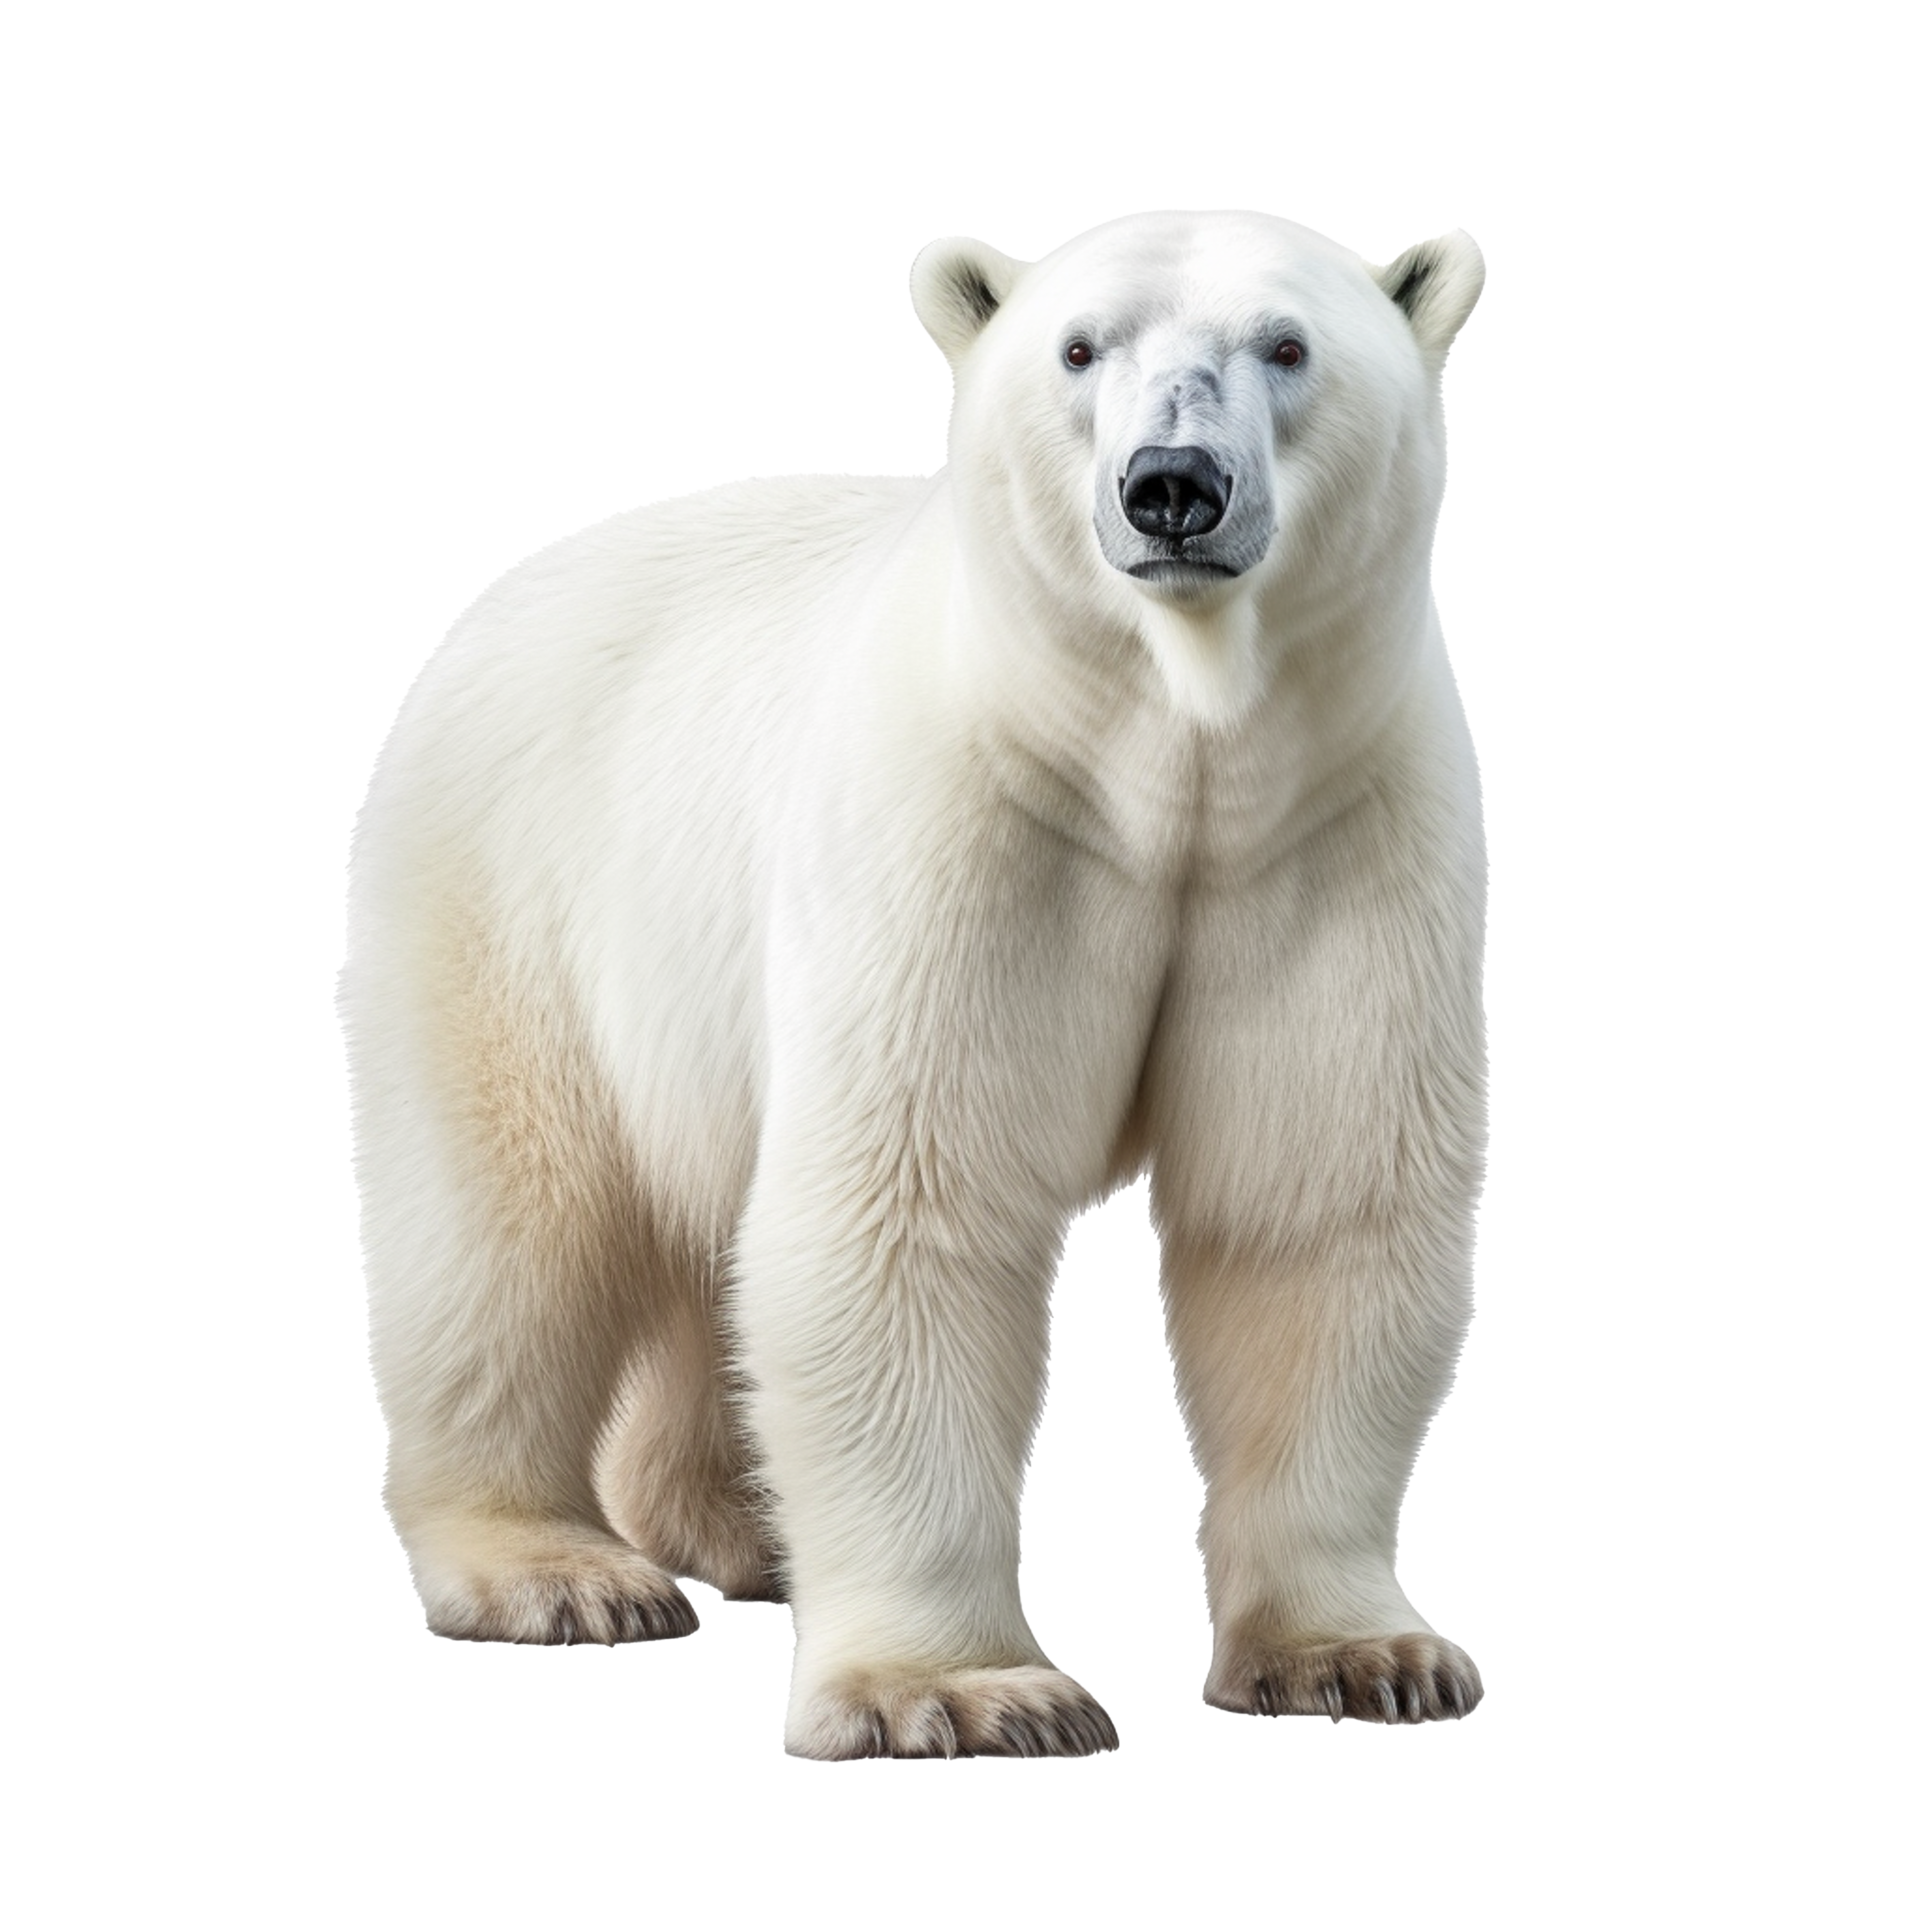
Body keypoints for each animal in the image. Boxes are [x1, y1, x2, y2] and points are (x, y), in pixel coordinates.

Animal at [337, 206, 1490, 1760]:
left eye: (1288, 345)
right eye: (1079, 347)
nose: (1172, 487)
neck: (1176, 754)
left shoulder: (1330, 830)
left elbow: (1308, 1208)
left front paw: (1361, 1658)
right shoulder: (962, 815)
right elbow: (905, 1207)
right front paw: (957, 1691)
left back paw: (743, 1528)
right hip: (506, 892)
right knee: (509, 1226)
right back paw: (558, 1573)